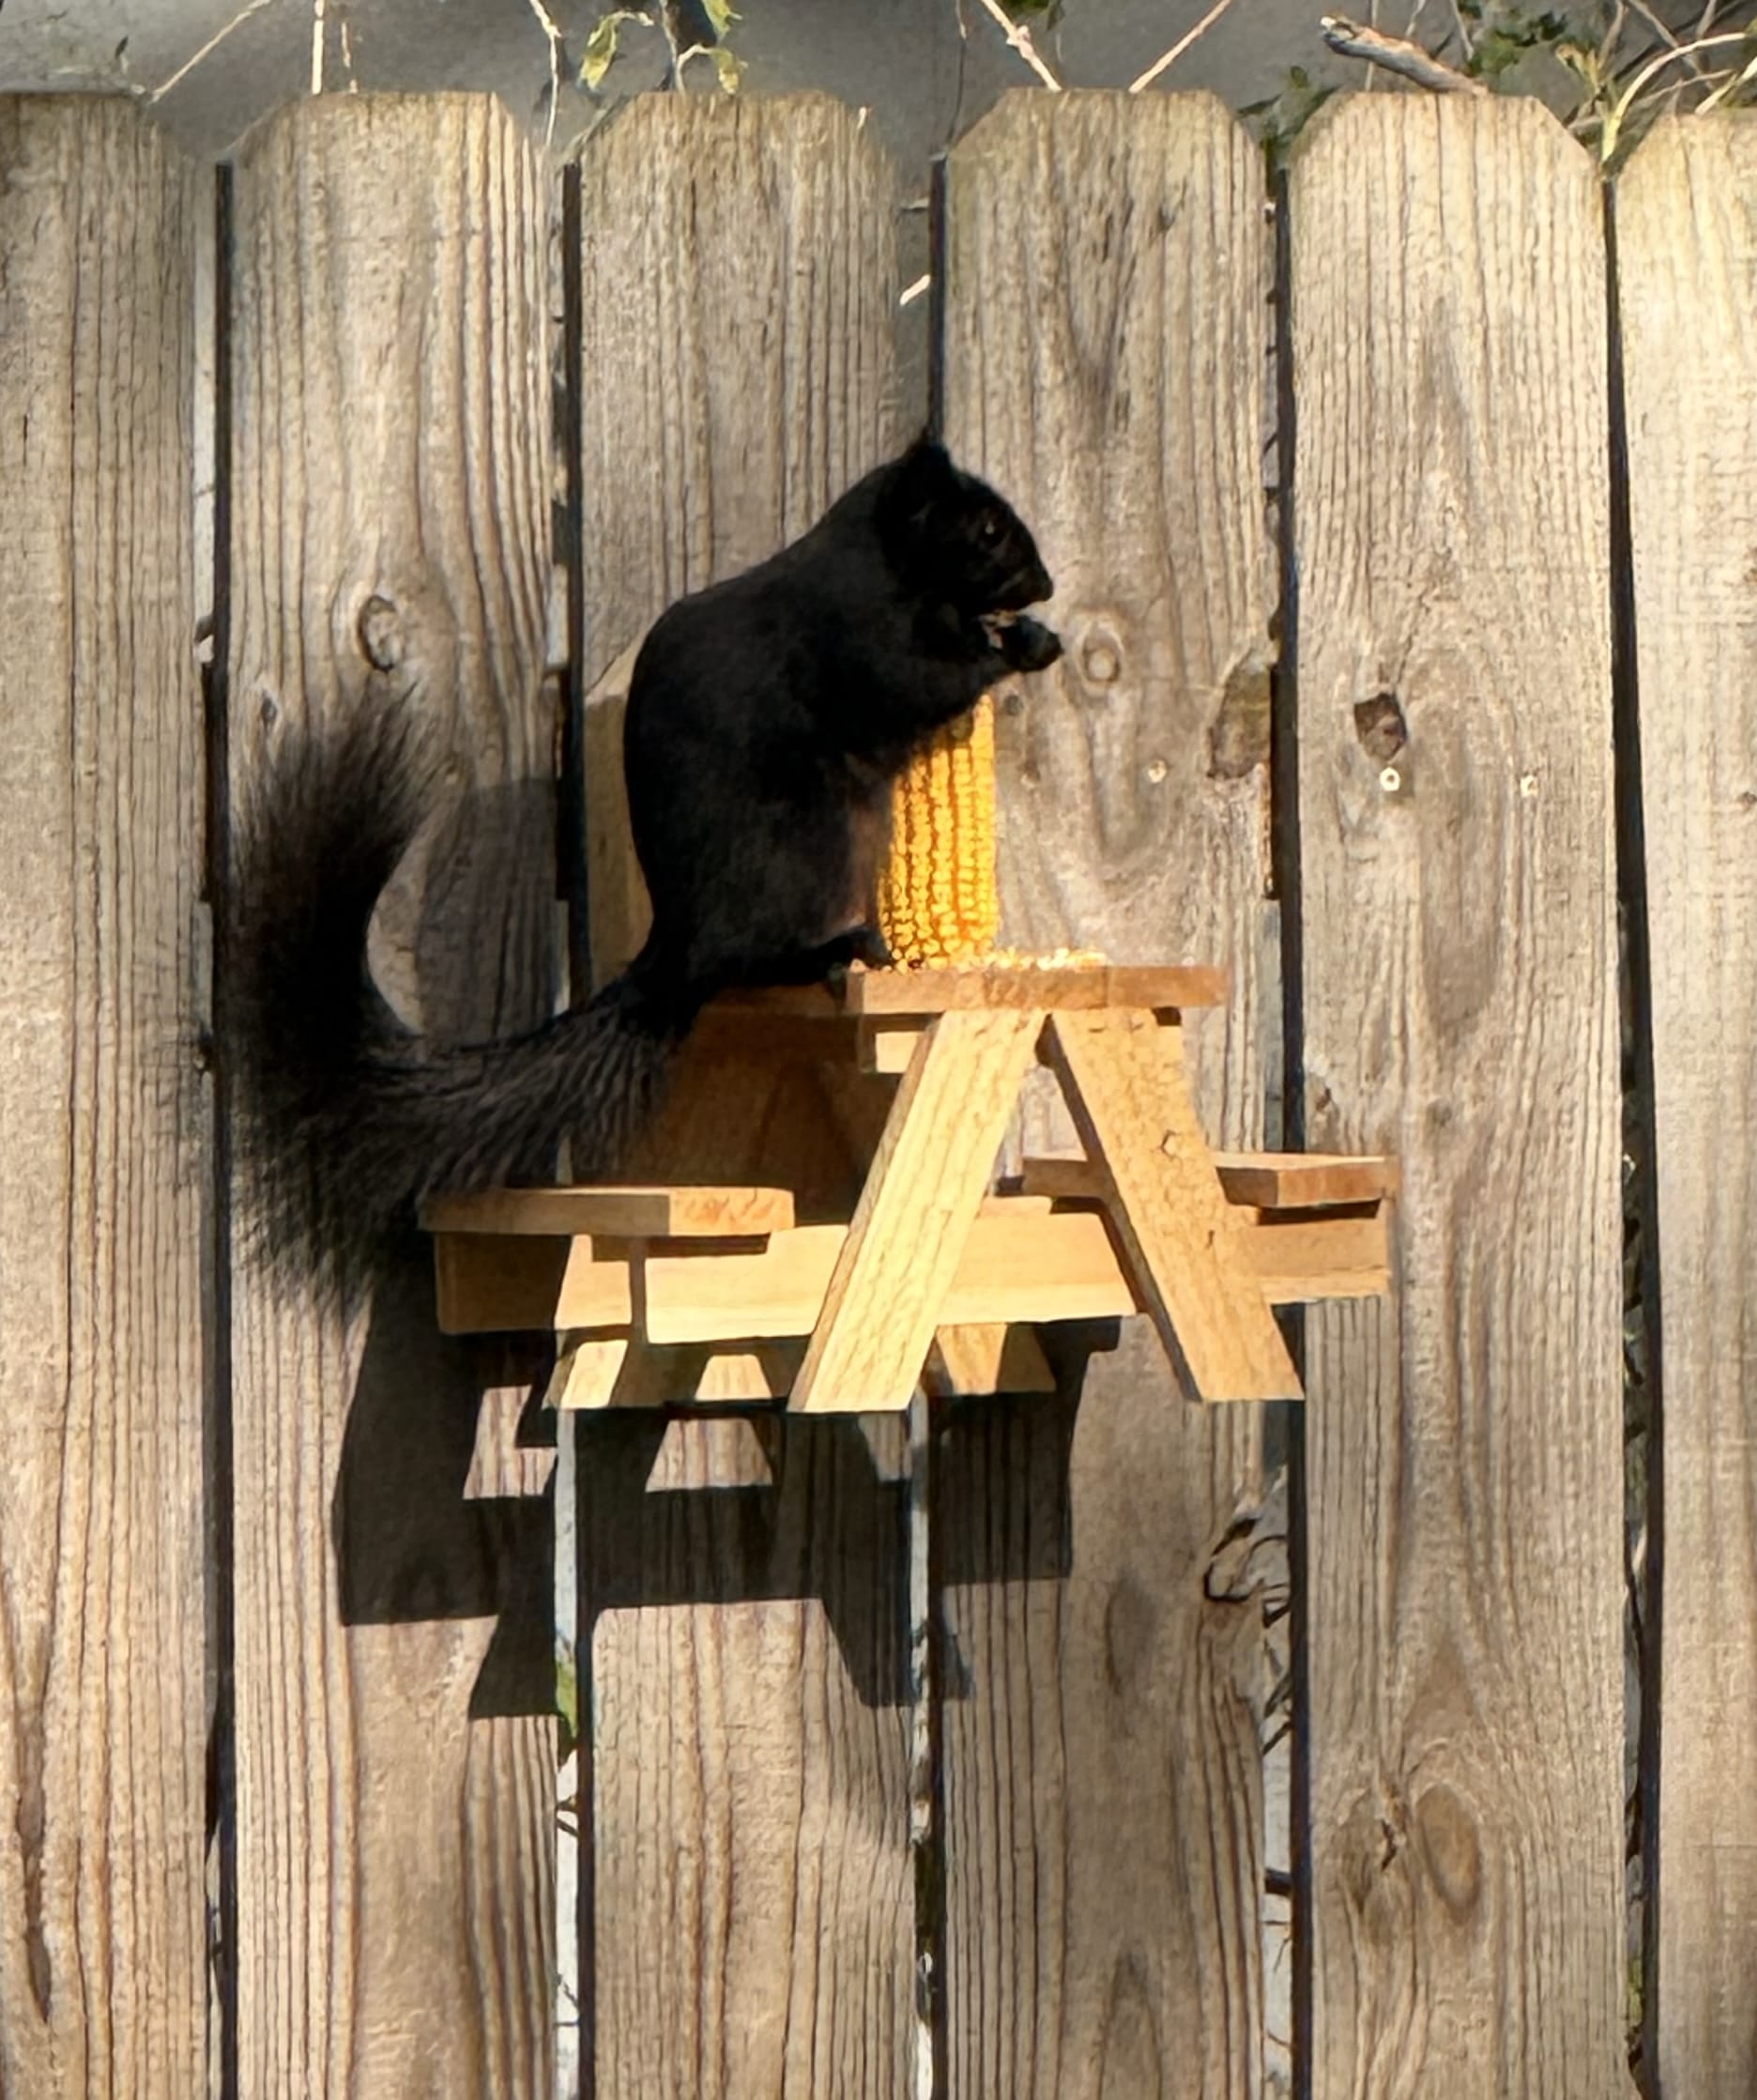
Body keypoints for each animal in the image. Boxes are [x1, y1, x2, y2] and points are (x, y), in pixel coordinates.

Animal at [224, 431, 1063, 1303]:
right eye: (986, 530)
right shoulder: (856, 637)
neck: (885, 563)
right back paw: (845, 948)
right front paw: (1021, 645)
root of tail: (673, 957)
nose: (1045, 585)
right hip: (805, 850)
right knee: (759, 958)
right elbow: (925, 681)